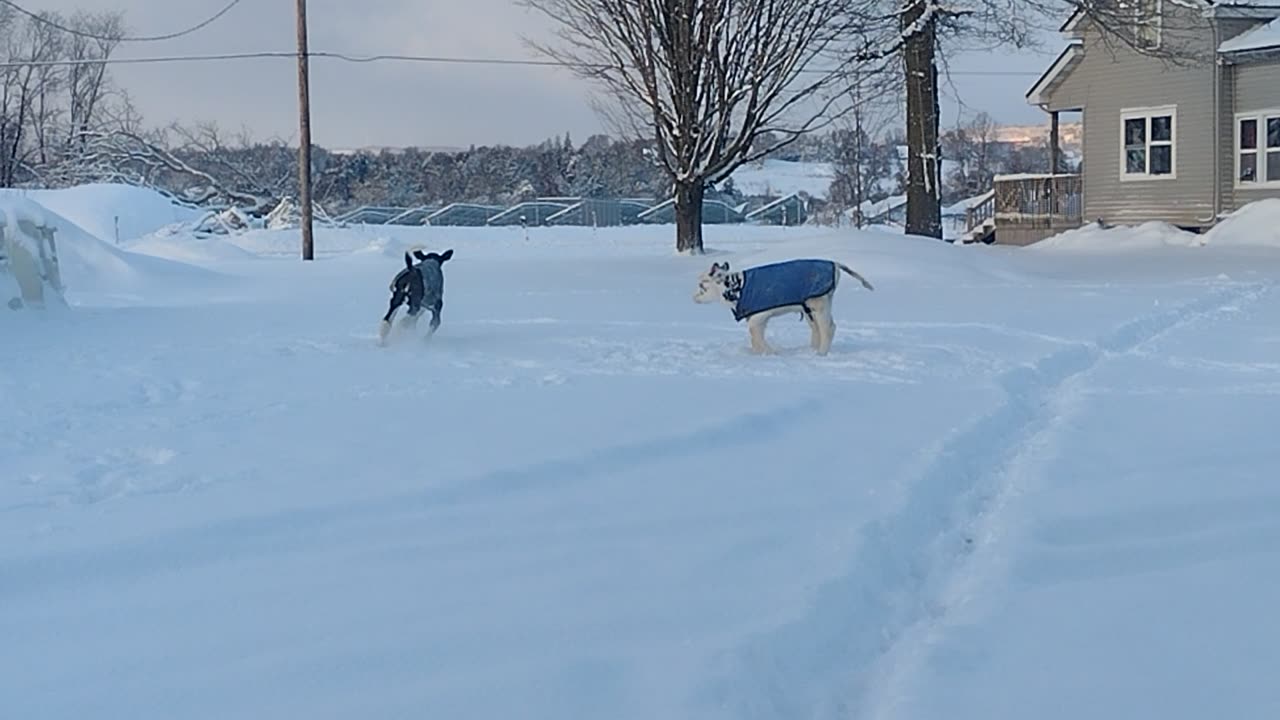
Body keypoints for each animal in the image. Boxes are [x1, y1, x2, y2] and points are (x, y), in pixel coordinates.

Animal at [696, 257, 875, 356]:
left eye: (702, 284)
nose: (693, 297)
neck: (736, 287)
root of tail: (835, 263)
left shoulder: (759, 316)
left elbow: (755, 334)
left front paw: (770, 352)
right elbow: (755, 336)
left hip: (819, 303)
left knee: (828, 328)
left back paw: (820, 353)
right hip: (810, 309)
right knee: (816, 328)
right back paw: (811, 350)